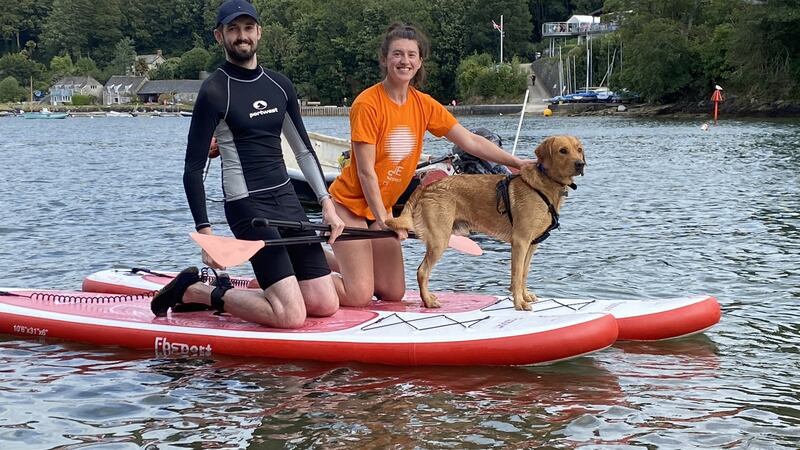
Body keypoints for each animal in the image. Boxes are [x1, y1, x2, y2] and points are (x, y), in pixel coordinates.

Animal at [384, 135, 584, 312]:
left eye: (579, 149)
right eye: (562, 150)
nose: (580, 164)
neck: (544, 187)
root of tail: (427, 186)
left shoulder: (532, 244)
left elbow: (524, 274)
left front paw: (525, 296)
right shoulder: (520, 242)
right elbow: (516, 275)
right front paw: (519, 303)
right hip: (439, 240)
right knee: (422, 271)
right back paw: (428, 301)